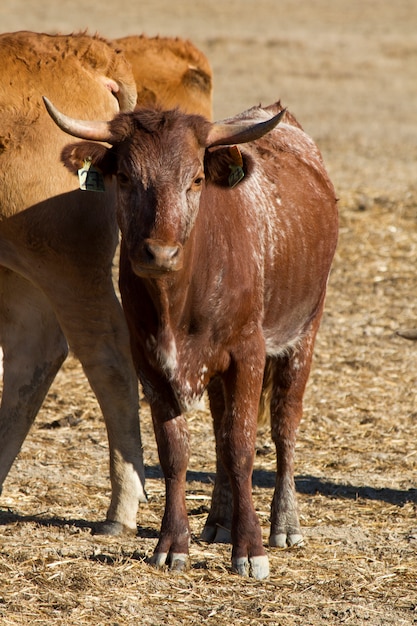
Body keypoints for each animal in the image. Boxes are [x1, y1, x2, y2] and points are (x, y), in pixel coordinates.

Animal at [0, 30, 211, 532]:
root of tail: (87, 50)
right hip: (22, 268)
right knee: (31, 357)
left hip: (63, 263)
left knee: (105, 355)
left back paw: (121, 508)